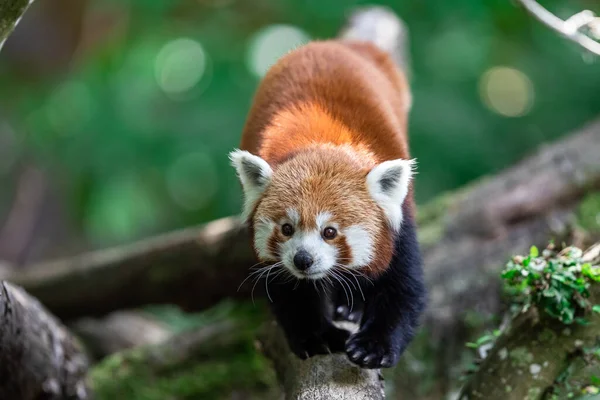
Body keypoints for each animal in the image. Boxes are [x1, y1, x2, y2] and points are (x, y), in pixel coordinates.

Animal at [231, 8, 426, 368]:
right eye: (287, 228)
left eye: (330, 232)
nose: (303, 260)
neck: (322, 145)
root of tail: (337, 46)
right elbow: (290, 292)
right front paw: (317, 336)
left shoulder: (400, 221)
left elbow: (403, 289)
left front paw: (374, 345)